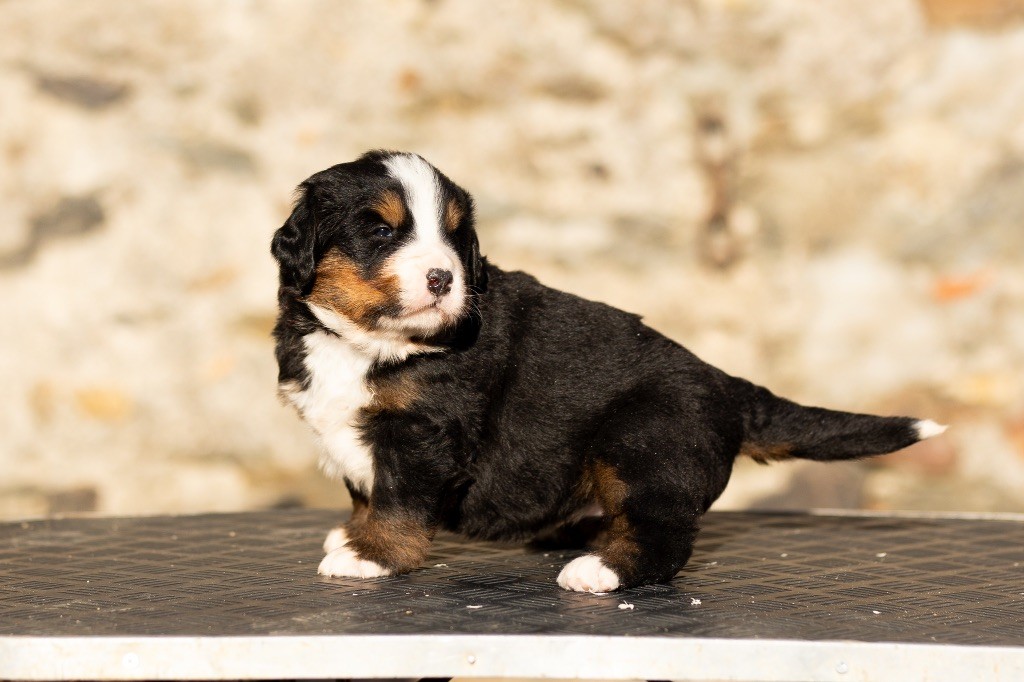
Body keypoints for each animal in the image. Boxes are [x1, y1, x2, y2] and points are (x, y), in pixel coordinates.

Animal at [270, 150, 942, 589]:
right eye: (381, 231)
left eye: (457, 239)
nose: (443, 278)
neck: (365, 344)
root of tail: (726, 386)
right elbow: (367, 492)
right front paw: (351, 534)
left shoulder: (423, 436)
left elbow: (400, 503)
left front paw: (371, 555)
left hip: (641, 443)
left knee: (662, 533)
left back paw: (602, 569)